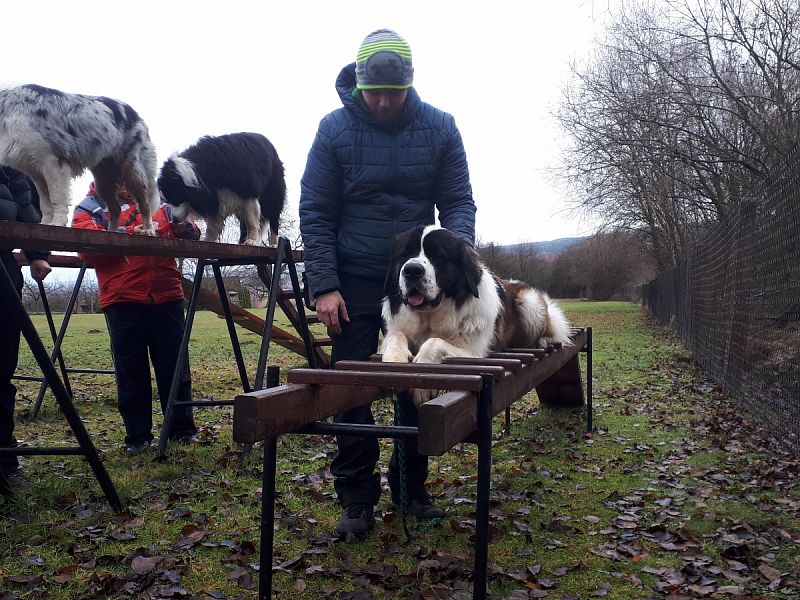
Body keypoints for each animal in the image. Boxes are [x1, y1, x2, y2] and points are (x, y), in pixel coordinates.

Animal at [0, 84, 161, 234]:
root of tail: (135, 115)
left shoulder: (53, 162)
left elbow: (57, 198)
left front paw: (57, 223)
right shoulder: (37, 173)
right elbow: (44, 204)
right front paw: (45, 224)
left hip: (131, 169)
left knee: (144, 202)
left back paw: (148, 229)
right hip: (103, 181)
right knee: (116, 208)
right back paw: (112, 232)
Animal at [156, 132, 284, 245]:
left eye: (176, 200)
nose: (174, 219)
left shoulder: (246, 190)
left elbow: (251, 220)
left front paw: (251, 241)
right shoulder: (214, 197)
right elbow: (213, 223)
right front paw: (208, 240)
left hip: (273, 187)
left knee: (273, 215)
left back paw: (273, 243)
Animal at [382, 226, 576, 408]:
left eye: (438, 256)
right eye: (405, 255)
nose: (412, 270)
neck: (433, 316)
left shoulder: (472, 351)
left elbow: (434, 342)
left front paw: (422, 375)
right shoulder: (399, 328)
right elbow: (395, 335)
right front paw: (394, 359)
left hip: (529, 302)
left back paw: (544, 340)